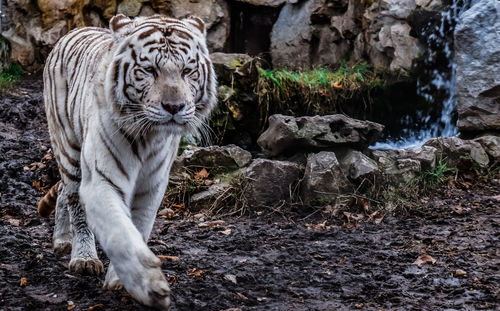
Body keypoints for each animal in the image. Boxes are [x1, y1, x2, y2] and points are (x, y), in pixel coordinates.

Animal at [38, 14, 217, 310]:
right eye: (149, 70)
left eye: (187, 71)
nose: (174, 107)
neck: (150, 137)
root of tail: (73, 31)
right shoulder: (101, 179)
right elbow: (119, 232)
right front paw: (148, 284)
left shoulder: (153, 186)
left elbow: (139, 228)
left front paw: (122, 281)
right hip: (69, 147)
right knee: (74, 199)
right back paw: (82, 257)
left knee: (63, 192)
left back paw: (62, 240)